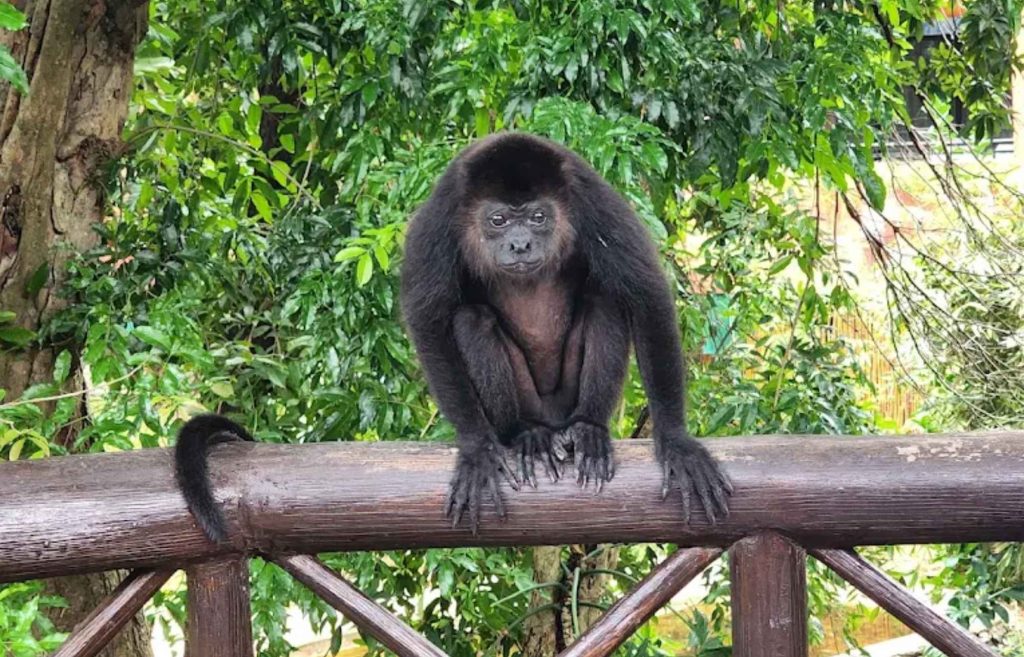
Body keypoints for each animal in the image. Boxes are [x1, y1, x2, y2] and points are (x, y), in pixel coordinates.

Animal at [400, 132, 733, 533]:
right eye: (498, 220)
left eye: (538, 217)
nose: (520, 244)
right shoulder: (442, 210)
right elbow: (428, 319)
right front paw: (476, 448)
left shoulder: (589, 194)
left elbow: (647, 295)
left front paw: (677, 443)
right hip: (530, 401)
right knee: (472, 321)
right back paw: (527, 434)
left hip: (568, 398)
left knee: (606, 302)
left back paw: (588, 431)